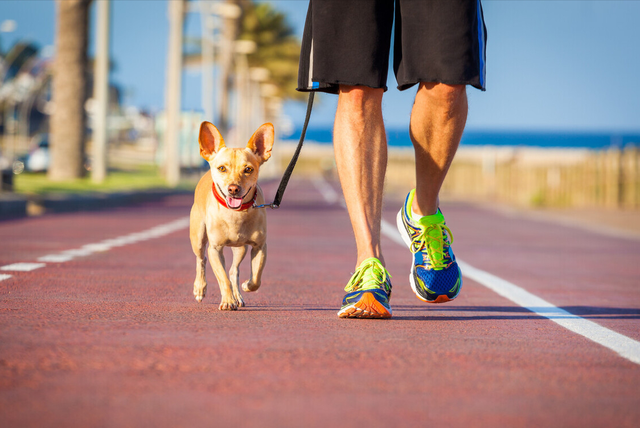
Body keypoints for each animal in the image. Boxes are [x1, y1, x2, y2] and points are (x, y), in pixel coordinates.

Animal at [188, 120, 272, 310]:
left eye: (248, 169)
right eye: (222, 168)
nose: (233, 188)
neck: (235, 214)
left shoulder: (260, 246)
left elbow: (256, 278)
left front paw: (246, 286)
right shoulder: (215, 249)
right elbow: (223, 278)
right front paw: (227, 301)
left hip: (240, 248)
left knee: (234, 270)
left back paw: (238, 296)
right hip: (198, 238)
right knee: (201, 259)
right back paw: (199, 288)